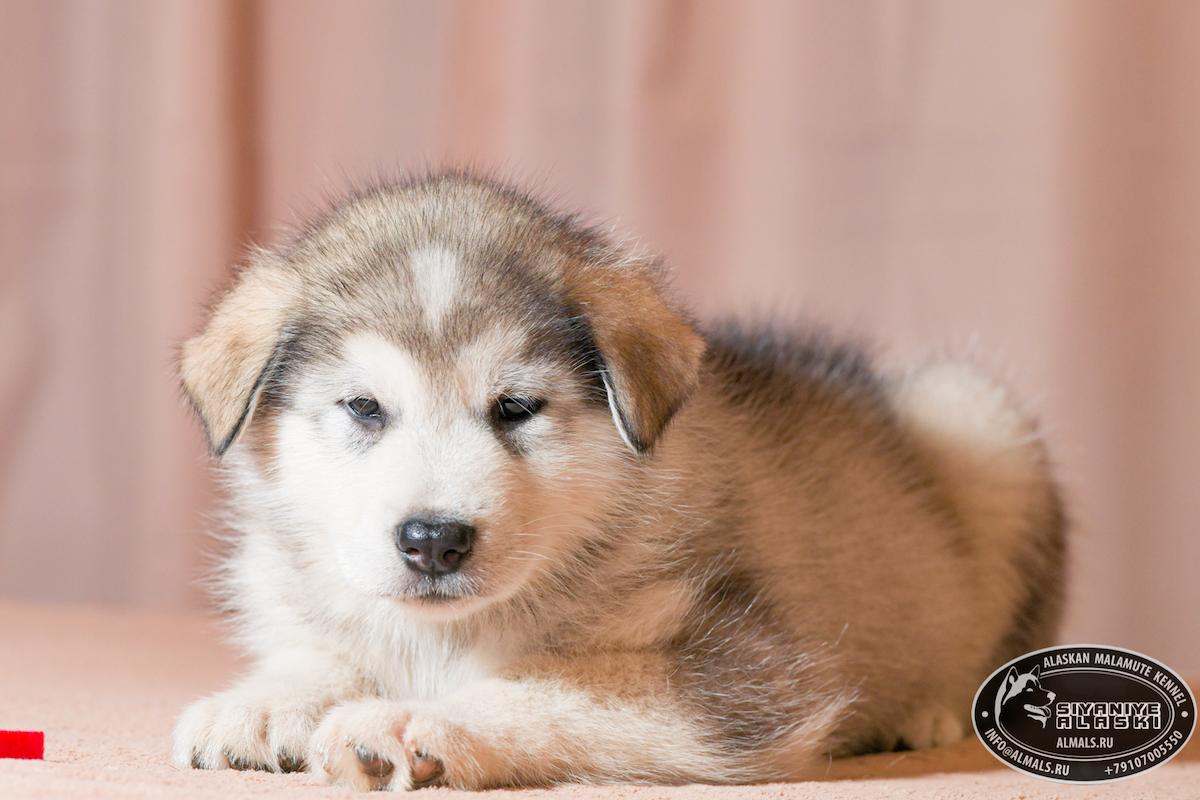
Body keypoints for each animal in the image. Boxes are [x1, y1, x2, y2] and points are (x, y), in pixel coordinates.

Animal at [174, 172, 1065, 791]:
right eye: (363, 407)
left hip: (977, 417)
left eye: (516, 408)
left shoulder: (743, 671)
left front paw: (417, 717)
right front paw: (267, 701)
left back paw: (929, 708)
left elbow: (553, 683)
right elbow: (324, 649)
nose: (434, 540)